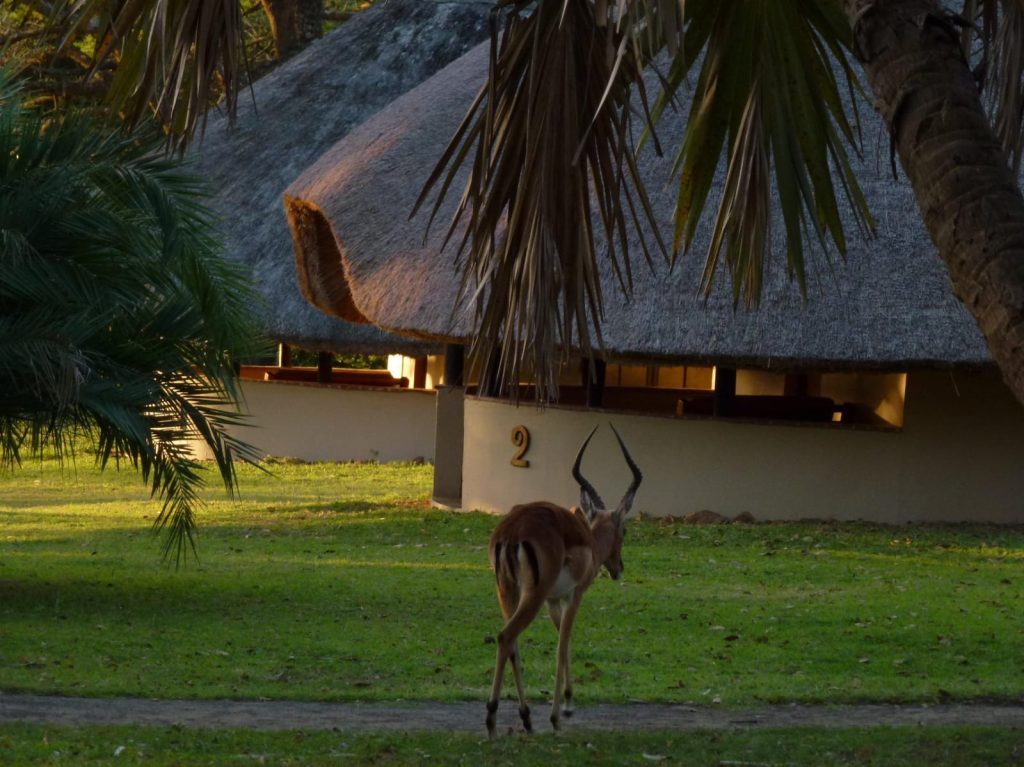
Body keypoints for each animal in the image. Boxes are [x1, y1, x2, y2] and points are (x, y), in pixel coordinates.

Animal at [485, 421, 638, 733]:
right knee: (506, 636)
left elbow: (563, 643)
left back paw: (526, 717)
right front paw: (560, 713)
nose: (618, 568)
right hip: (532, 595)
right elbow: (562, 645)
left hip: (508, 591)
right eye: (625, 530)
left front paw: (567, 704)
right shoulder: (574, 595)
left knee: (512, 644)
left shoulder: (553, 601)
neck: (589, 543)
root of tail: (511, 530)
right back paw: (493, 718)